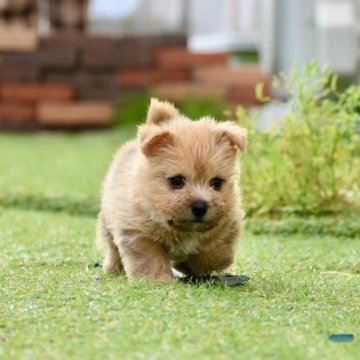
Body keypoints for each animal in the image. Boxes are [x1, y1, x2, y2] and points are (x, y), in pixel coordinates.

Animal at [96, 97, 248, 282]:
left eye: (216, 183)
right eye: (176, 181)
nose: (200, 207)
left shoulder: (229, 222)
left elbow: (216, 254)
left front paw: (190, 264)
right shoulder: (137, 231)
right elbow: (150, 258)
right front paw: (157, 279)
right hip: (108, 221)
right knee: (112, 248)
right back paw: (113, 268)